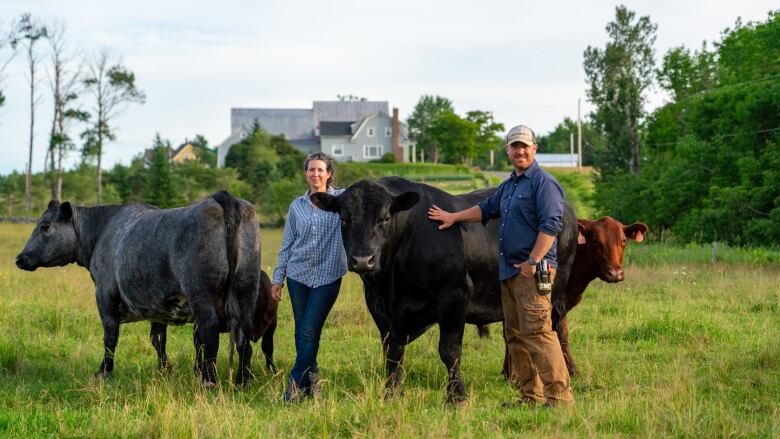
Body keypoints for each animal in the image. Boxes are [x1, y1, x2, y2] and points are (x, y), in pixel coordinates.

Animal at [16, 192, 260, 384]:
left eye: (45, 226)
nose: (20, 258)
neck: (101, 231)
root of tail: (222, 197)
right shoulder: (159, 305)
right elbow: (158, 339)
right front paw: (165, 369)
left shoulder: (105, 295)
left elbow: (110, 337)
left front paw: (103, 372)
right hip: (248, 287)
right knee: (243, 335)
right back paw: (243, 379)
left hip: (200, 293)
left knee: (210, 332)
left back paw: (209, 381)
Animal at [308, 177, 576, 404]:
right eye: (344, 219)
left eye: (385, 218)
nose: (363, 260)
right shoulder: (379, 306)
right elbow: (392, 351)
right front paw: (392, 393)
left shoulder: (454, 296)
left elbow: (449, 350)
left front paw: (456, 396)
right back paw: (513, 377)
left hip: (551, 292)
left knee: (550, 332)